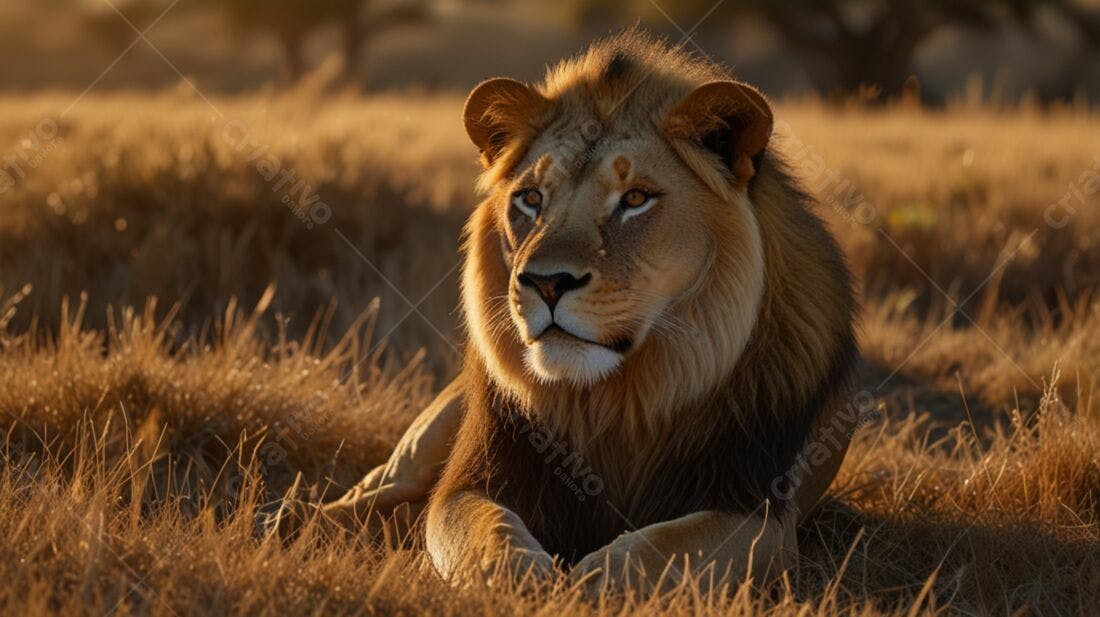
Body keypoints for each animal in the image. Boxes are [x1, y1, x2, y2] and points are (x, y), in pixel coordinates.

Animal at [289, 30, 859, 593]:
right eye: (531, 198)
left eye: (635, 198)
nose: (546, 282)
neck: (614, 398)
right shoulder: (476, 478)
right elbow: (484, 528)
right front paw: (521, 580)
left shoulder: (759, 512)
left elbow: (660, 550)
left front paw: (591, 583)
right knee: (363, 499)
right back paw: (291, 524)